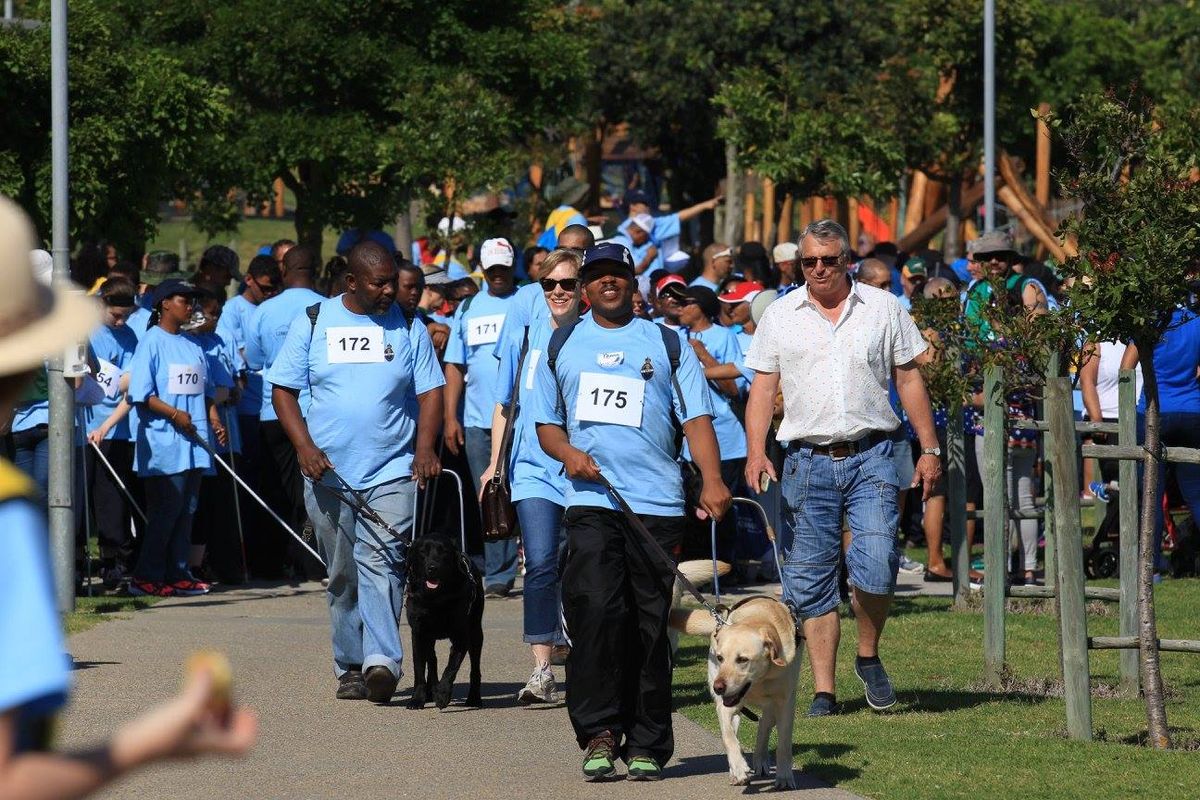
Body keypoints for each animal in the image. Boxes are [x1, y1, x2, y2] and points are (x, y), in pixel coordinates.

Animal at [405, 534, 484, 710]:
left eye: (444, 552)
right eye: (422, 551)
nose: (432, 567)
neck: (435, 599)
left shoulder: (461, 637)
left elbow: (451, 667)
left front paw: (442, 695)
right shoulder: (418, 633)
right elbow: (419, 668)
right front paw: (417, 699)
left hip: (476, 632)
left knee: (475, 668)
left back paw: (474, 698)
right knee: (432, 660)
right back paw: (430, 691)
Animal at [672, 592, 801, 791]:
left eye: (742, 659)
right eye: (720, 658)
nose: (718, 687)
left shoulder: (785, 703)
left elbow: (784, 745)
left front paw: (785, 776)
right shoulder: (725, 705)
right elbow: (728, 737)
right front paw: (739, 768)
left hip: (773, 707)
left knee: (764, 723)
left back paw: (761, 760)